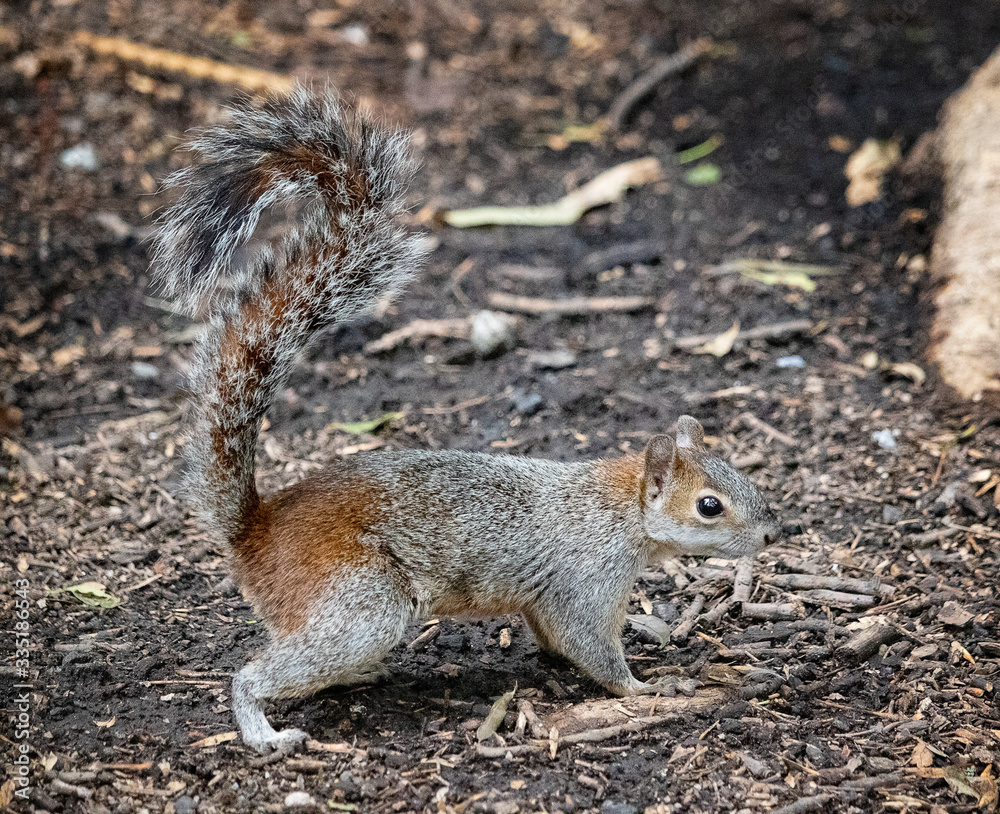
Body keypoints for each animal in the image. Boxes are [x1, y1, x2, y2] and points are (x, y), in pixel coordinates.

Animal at [152, 88, 781, 753]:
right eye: (709, 506)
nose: (773, 534)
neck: (618, 510)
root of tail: (253, 531)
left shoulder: (552, 596)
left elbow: (552, 636)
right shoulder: (584, 581)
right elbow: (590, 647)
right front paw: (645, 688)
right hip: (361, 604)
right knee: (256, 673)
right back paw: (264, 729)